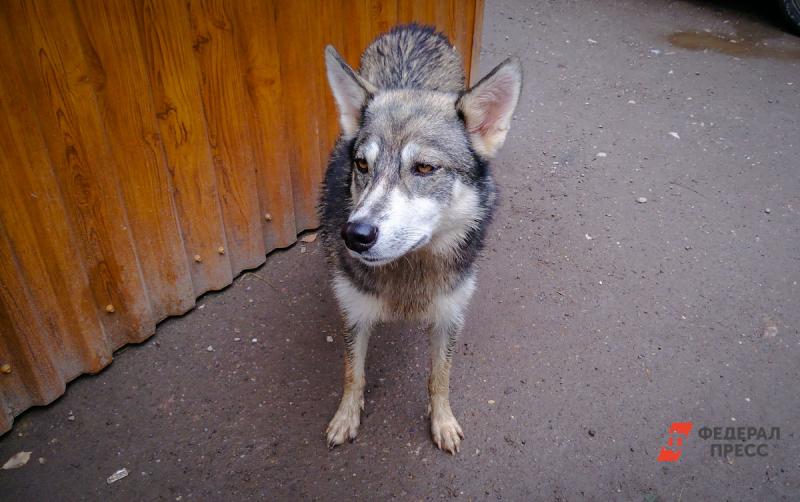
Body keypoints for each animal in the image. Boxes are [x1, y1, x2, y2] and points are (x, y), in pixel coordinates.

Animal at [318, 24, 524, 454]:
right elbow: (352, 374)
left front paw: (442, 422)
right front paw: (346, 418)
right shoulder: (354, 313)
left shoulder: (449, 316)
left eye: (425, 168)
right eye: (362, 165)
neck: (409, 272)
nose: (355, 235)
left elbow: (439, 379)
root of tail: (413, 28)